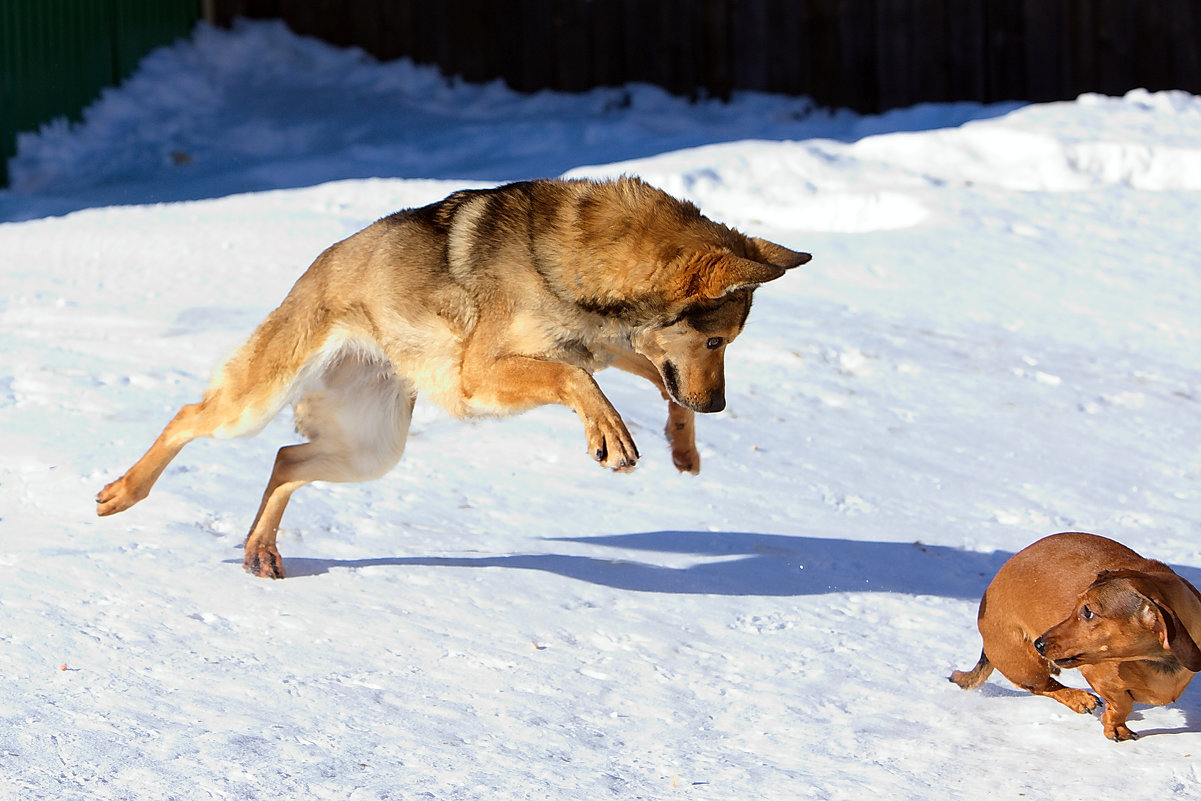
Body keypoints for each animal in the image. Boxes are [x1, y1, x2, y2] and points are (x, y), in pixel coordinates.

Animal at [96, 176, 807, 576]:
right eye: (716, 339)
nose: (718, 408)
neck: (578, 266)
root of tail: (316, 268)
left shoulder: (607, 348)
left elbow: (654, 382)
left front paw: (683, 446)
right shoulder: (480, 377)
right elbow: (578, 384)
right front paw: (611, 436)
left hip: (371, 451)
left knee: (284, 460)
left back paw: (260, 551)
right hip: (258, 402)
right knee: (190, 417)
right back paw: (123, 493)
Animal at [951, 528, 1196, 744]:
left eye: (1088, 612)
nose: (1039, 643)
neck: (1158, 661)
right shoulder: (1101, 679)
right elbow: (1121, 705)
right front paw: (1115, 726)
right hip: (1024, 665)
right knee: (1044, 686)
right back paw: (1079, 698)